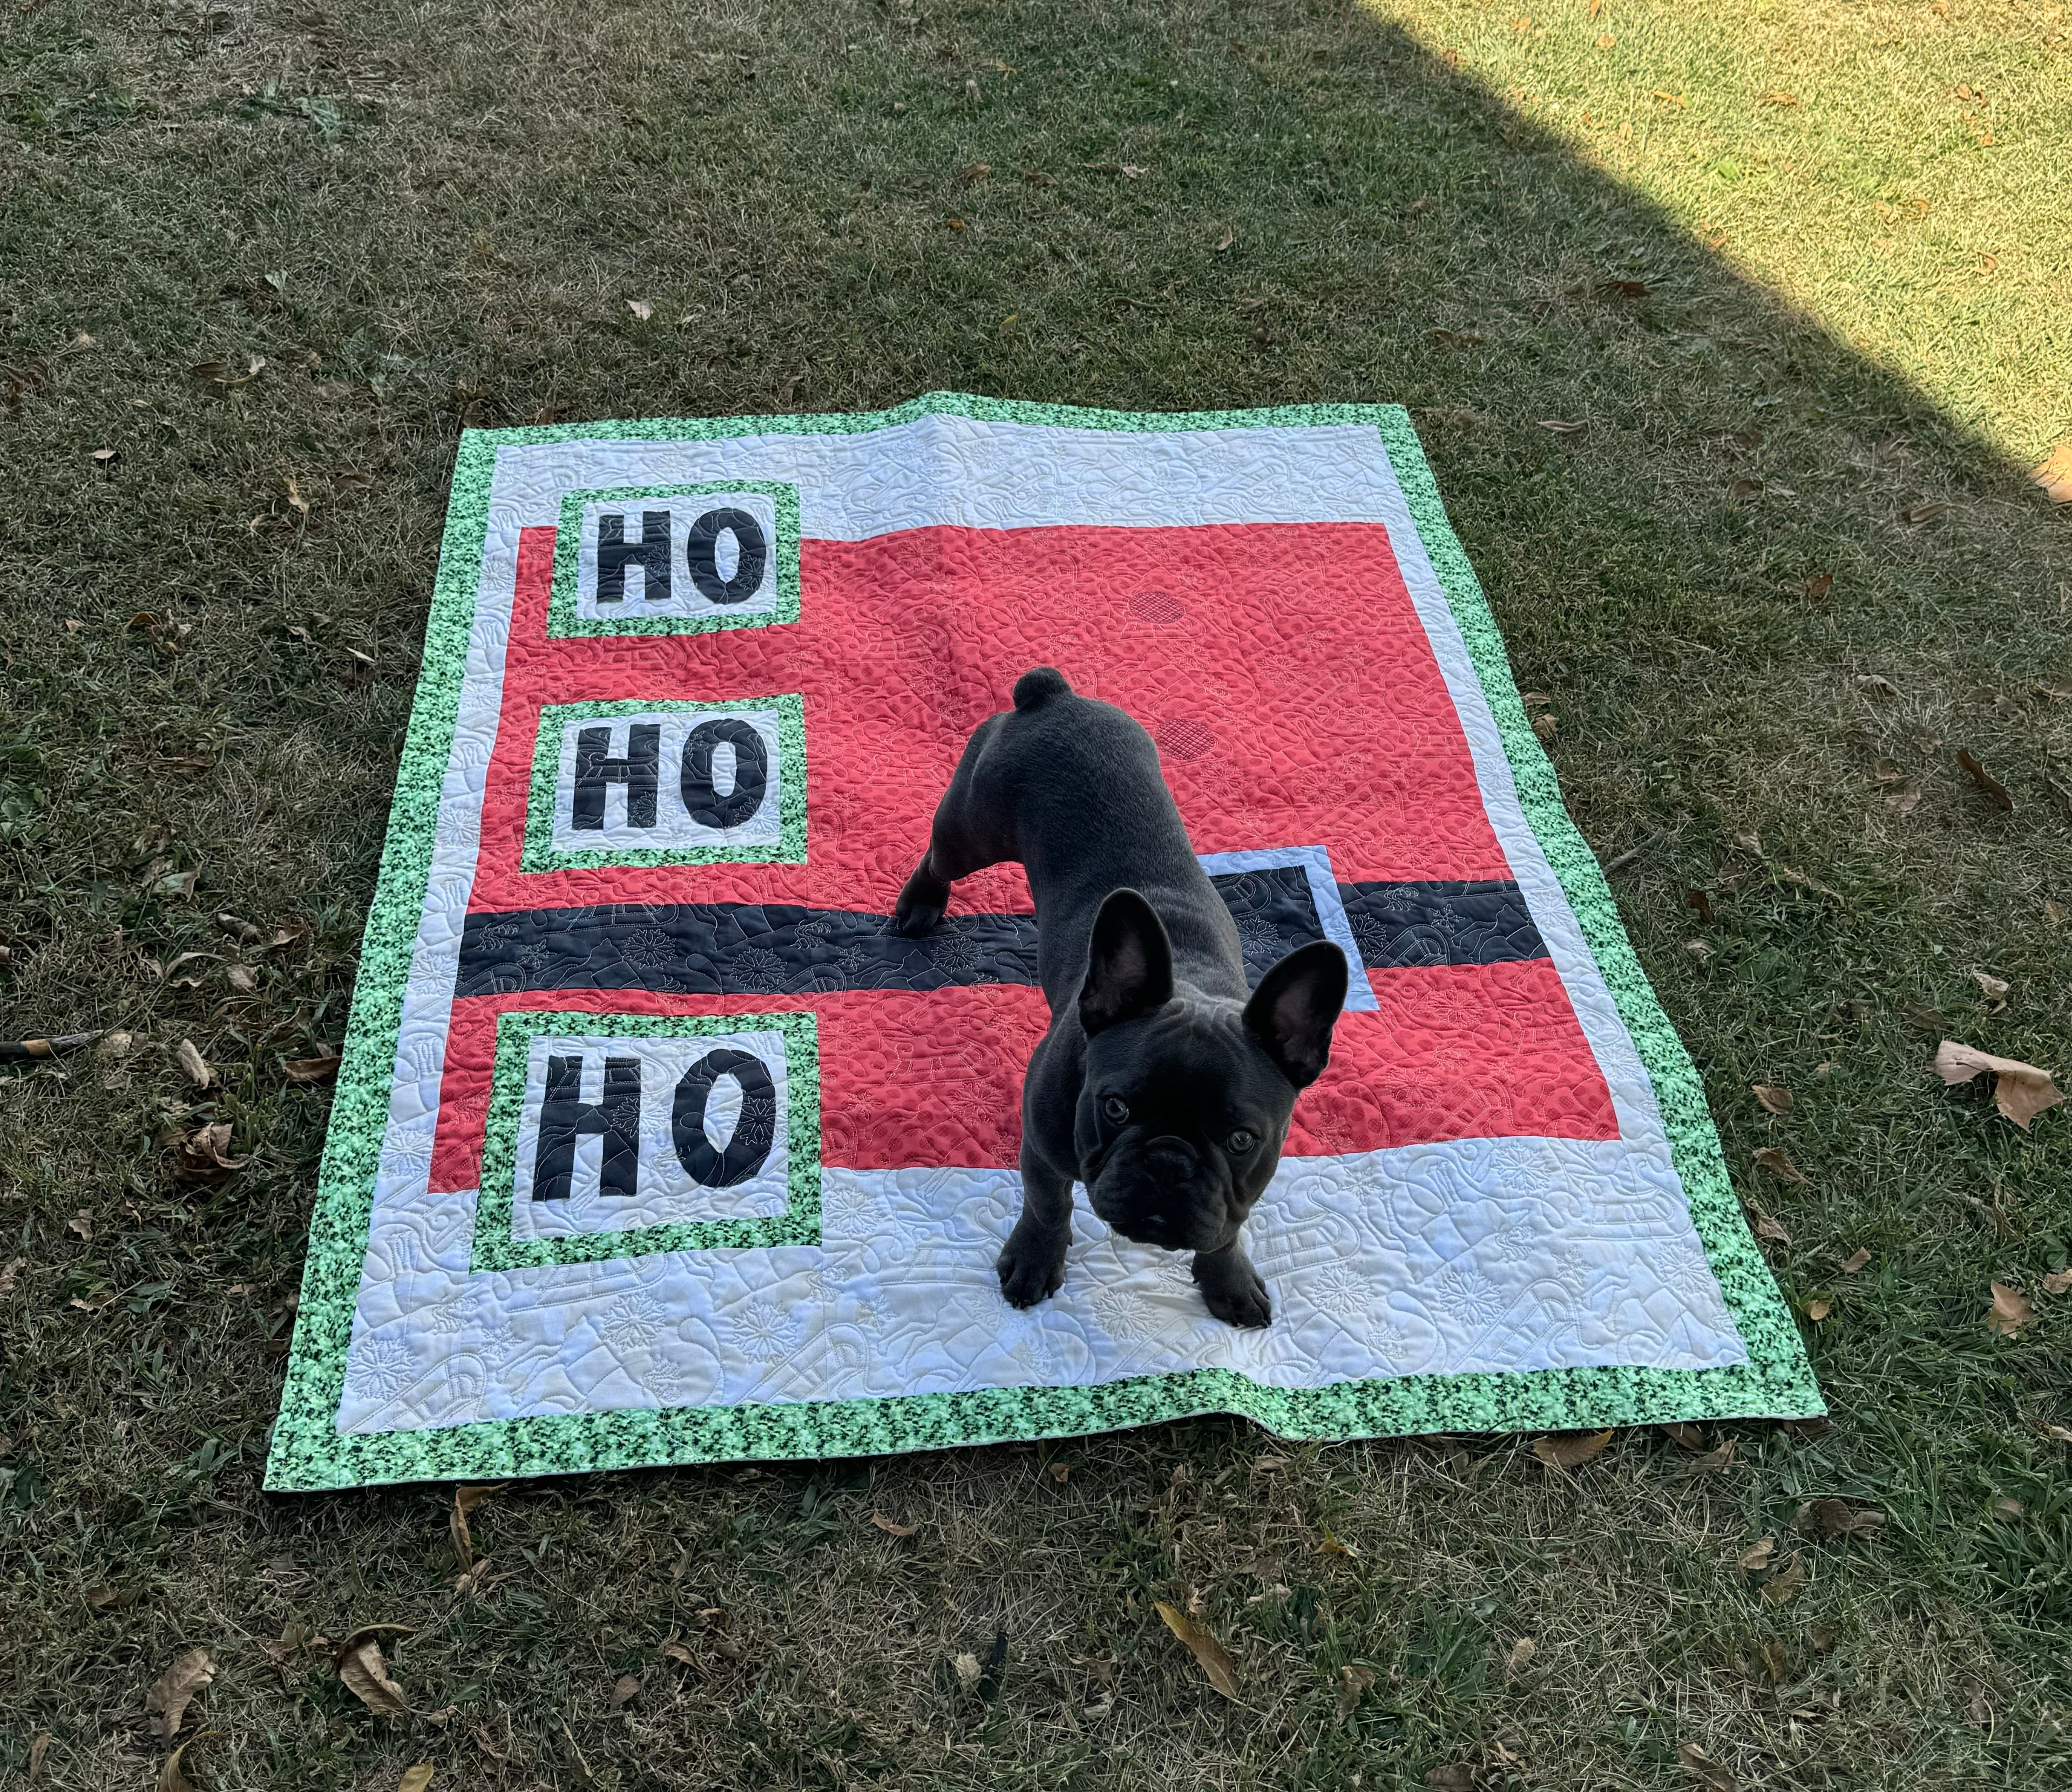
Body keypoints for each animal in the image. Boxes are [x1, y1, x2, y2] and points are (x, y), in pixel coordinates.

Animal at [894, 667, 1347, 1326]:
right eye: (1115, 1107)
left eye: (1242, 1139)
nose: (1169, 1160)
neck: (1193, 982)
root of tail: (1053, 696)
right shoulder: (1042, 1146)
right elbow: (1047, 1205)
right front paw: (1034, 1261)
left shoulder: (1243, 1187)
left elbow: (1228, 1227)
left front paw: (1229, 1281)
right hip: (973, 826)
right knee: (938, 855)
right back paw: (919, 904)